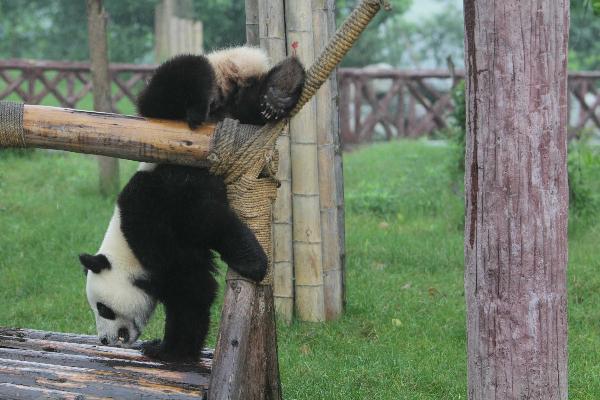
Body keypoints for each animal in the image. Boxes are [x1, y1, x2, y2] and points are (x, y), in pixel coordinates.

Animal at [79, 47, 304, 362]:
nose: (104, 339)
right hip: (238, 117)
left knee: (169, 85)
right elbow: (196, 288)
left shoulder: (151, 214)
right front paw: (169, 348)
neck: (126, 250)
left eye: (103, 308)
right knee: (249, 104)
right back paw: (280, 89)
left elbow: (191, 271)